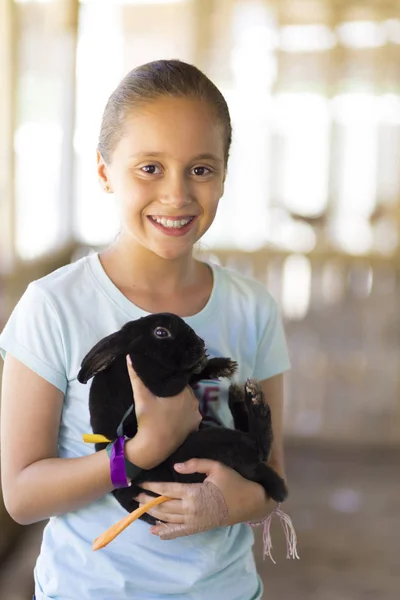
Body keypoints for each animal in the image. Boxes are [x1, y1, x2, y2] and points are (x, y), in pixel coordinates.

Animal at [78, 312, 290, 524]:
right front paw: (203, 362)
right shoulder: (157, 384)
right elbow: (184, 376)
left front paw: (222, 365)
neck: (134, 355)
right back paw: (252, 399)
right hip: (210, 443)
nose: (201, 344)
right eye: (161, 332)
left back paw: (240, 395)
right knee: (259, 447)